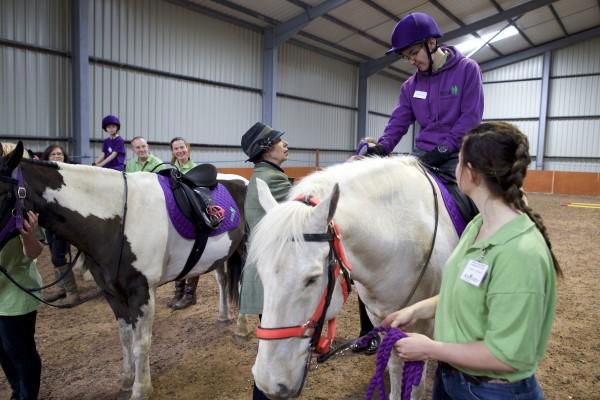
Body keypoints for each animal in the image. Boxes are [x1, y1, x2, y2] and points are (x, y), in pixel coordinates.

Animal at [0, 144, 246, 400]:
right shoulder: (112, 292)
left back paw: (241, 329)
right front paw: (127, 383)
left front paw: (141, 389)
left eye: (3, 194)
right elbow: (125, 339)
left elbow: (141, 342)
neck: (117, 218)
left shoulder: (141, 292)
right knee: (223, 281)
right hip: (223, 256)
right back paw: (223, 317)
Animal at [248, 156, 460, 400]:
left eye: (312, 279)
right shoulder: (385, 321)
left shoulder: (423, 329)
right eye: (261, 274)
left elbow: (416, 387)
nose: (268, 382)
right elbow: (395, 371)